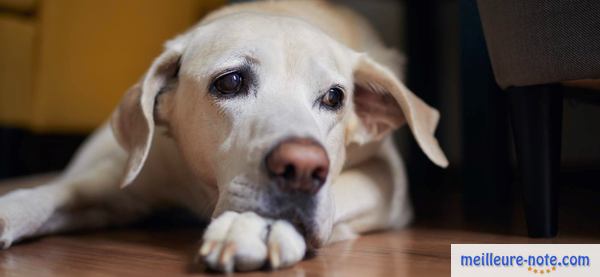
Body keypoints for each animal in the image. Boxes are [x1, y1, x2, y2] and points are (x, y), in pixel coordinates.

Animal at [0, 0, 446, 272]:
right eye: (230, 82)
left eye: (335, 97)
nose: (303, 167)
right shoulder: (128, 183)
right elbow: (57, 193)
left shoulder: (388, 181)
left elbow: (342, 190)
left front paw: (258, 226)